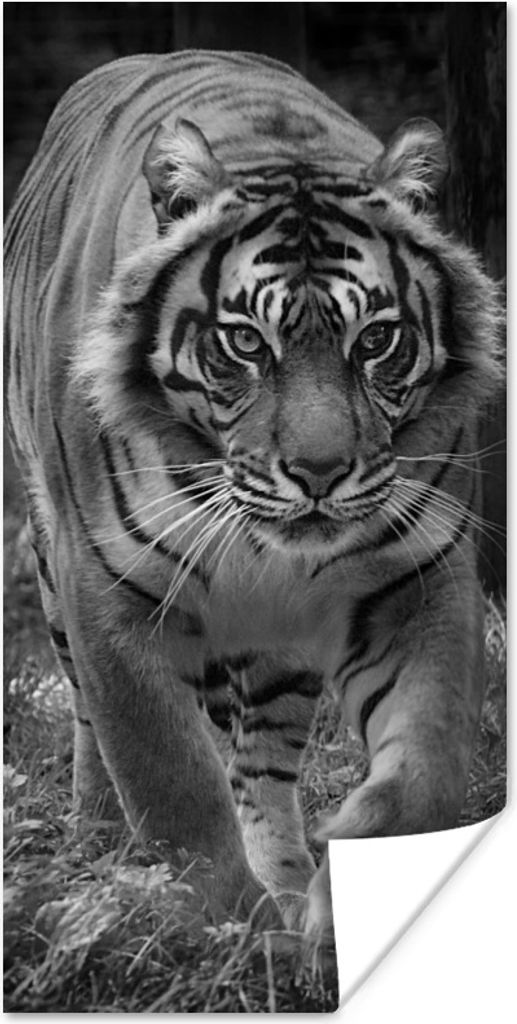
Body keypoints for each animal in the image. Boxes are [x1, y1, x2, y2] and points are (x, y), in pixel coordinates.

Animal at [4, 50, 502, 941]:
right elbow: (168, 778)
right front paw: (222, 927)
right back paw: (99, 837)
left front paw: (334, 904)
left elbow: (426, 761)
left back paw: (285, 879)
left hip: (281, 645)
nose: (319, 472)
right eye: (243, 342)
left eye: (375, 339)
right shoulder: (107, 586)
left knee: (261, 759)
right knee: (95, 723)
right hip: (51, 570)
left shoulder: (418, 570)